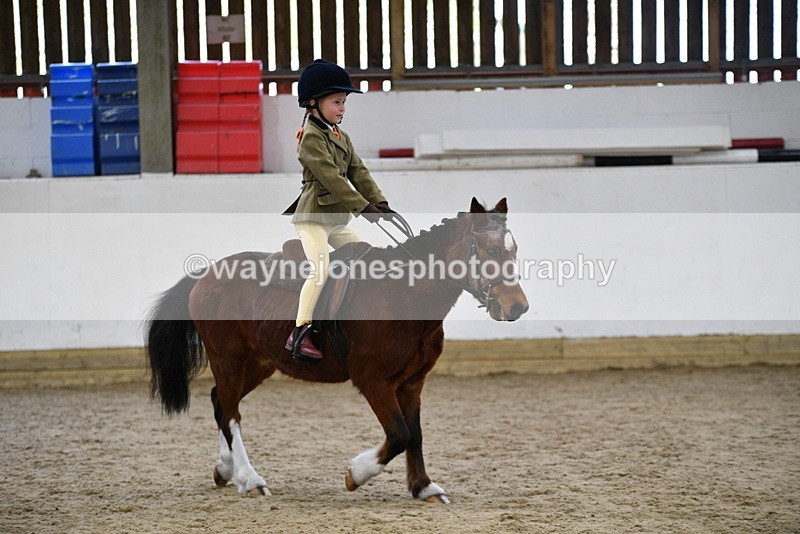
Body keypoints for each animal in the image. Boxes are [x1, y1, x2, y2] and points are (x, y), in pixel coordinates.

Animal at [145, 197, 529, 503]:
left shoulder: (412, 382)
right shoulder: (374, 381)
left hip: (258, 364)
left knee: (220, 403)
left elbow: (415, 434)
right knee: (230, 414)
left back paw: (226, 469)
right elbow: (400, 434)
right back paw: (250, 479)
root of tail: (207, 274)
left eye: (514, 251)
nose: (518, 307)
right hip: (228, 359)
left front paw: (423, 487)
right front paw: (356, 474)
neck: (403, 293)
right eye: (492, 251)